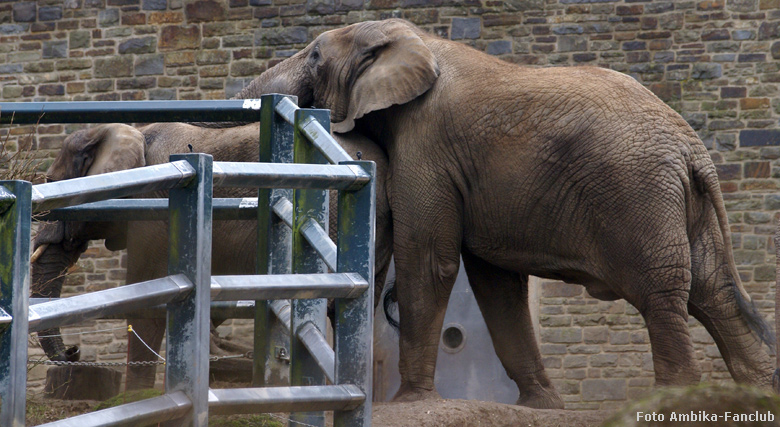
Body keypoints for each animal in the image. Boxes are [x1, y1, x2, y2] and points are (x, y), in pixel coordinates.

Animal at [222, 18, 776, 410]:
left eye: (315, 55)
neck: (417, 38)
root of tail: (692, 148)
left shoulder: (427, 143)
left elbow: (430, 261)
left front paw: (411, 401)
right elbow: (495, 283)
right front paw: (543, 406)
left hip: (639, 194)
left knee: (663, 293)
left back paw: (673, 399)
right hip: (679, 203)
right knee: (715, 292)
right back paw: (757, 394)